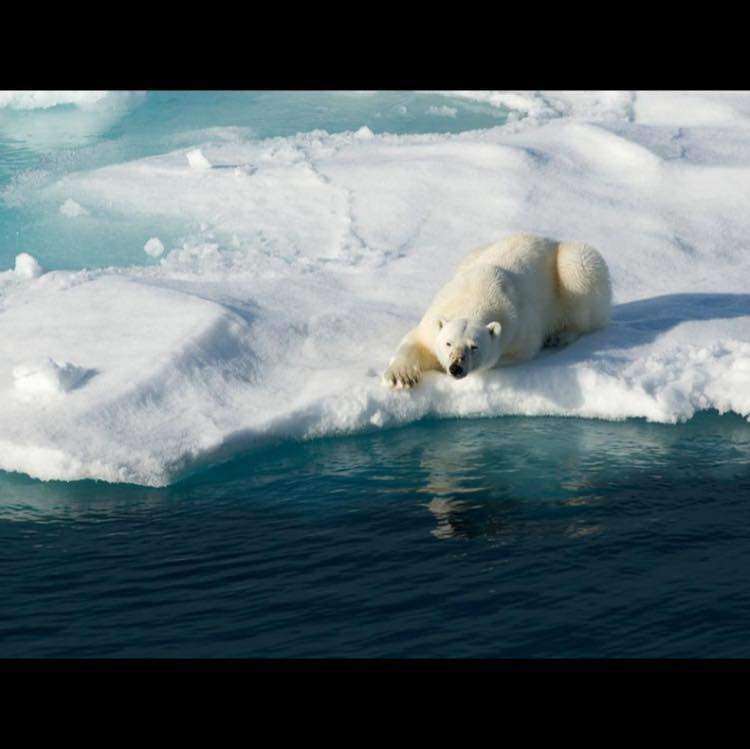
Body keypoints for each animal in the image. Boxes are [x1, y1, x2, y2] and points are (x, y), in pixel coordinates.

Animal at [382, 232, 612, 386]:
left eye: (474, 346)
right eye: (448, 343)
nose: (455, 367)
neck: (474, 294)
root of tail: (551, 240)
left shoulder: (520, 327)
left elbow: (514, 352)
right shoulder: (434, 317)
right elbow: (414, 341)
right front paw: (401, 376)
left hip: (572, 267)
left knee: (580, 276)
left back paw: (561, 335)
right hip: (472, 254)